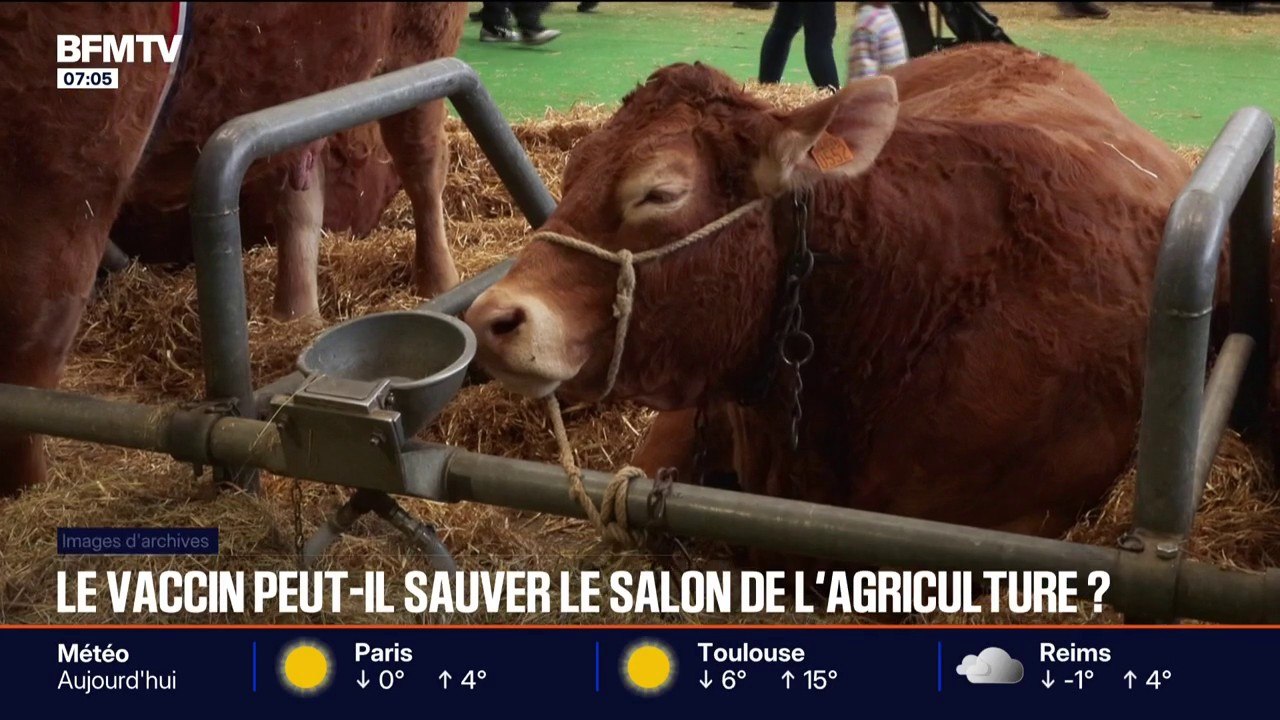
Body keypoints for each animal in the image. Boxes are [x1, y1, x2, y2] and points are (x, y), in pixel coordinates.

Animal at [0, 2, 464, 496]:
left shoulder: (65, 165)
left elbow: (30, 339)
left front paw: (27, 491)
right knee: (301, 188)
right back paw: (295, 315)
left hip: (422, 39)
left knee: (422, 158)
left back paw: (438, 281)